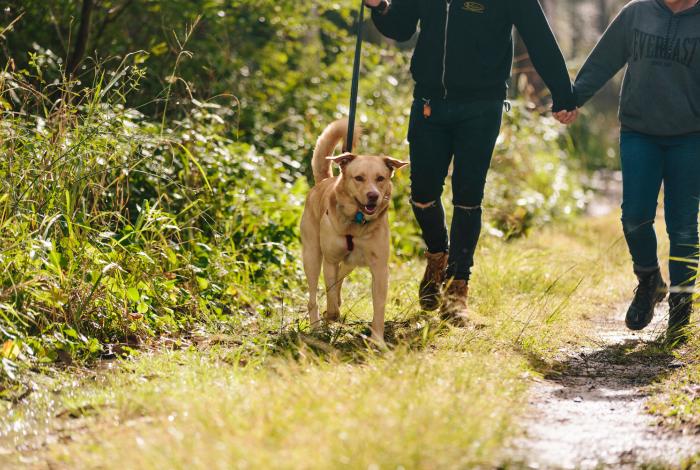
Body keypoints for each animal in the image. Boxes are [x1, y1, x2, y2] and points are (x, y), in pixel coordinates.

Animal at [300, 120, 408, 342]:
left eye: (380, 178)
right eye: (359, 178)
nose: (373, 196)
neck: (357, 222)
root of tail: (322, 181)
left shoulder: (380, 267)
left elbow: (379, 307)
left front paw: (377, 340)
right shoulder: (330, 260)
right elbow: (331, 296)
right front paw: (331, 314)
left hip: (352, 262)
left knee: (342, 275)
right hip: (312, 255)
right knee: (314, 296)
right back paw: (316, 326)